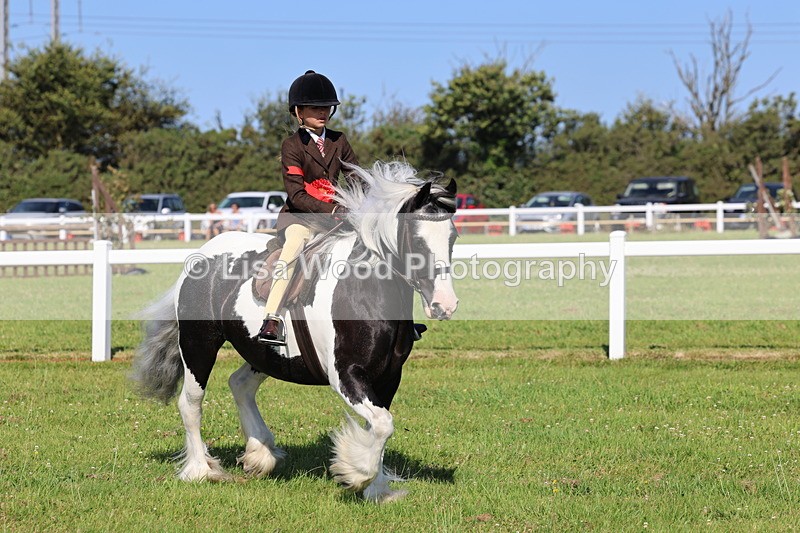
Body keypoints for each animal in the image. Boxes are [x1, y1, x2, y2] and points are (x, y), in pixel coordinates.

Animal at [131, 161, 459, 502]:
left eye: (453, 237)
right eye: (417, 241)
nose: (445, 305)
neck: (365, 289)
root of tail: (201, 254)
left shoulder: (388, 376)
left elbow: (380, 429)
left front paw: (376, 487)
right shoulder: (347, 376)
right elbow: (382, 425)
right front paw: (356, 475)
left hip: (264, 352)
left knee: (240, 385)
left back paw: (260, 454)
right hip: (199, 345)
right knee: (191, 403)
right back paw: (200, 469)